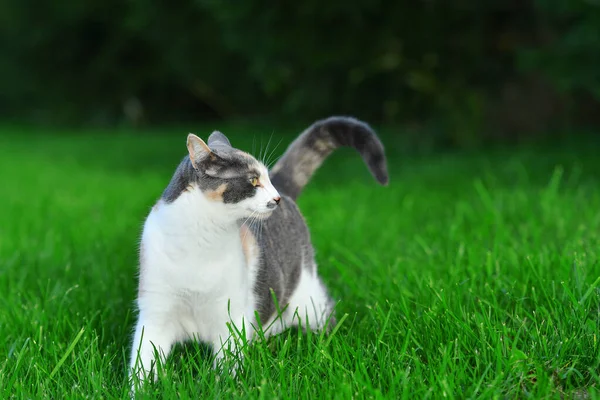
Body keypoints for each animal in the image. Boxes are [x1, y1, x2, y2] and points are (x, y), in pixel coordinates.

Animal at [129, 115, 390, 388]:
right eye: (253, 180)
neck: (199, 241)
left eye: (267, 178)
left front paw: (223, 387)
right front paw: (141, 390)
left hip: (309, 300)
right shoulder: (155, 313)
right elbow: (143, 362)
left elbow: (227, 365)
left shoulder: (230, 318)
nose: (275, 198)